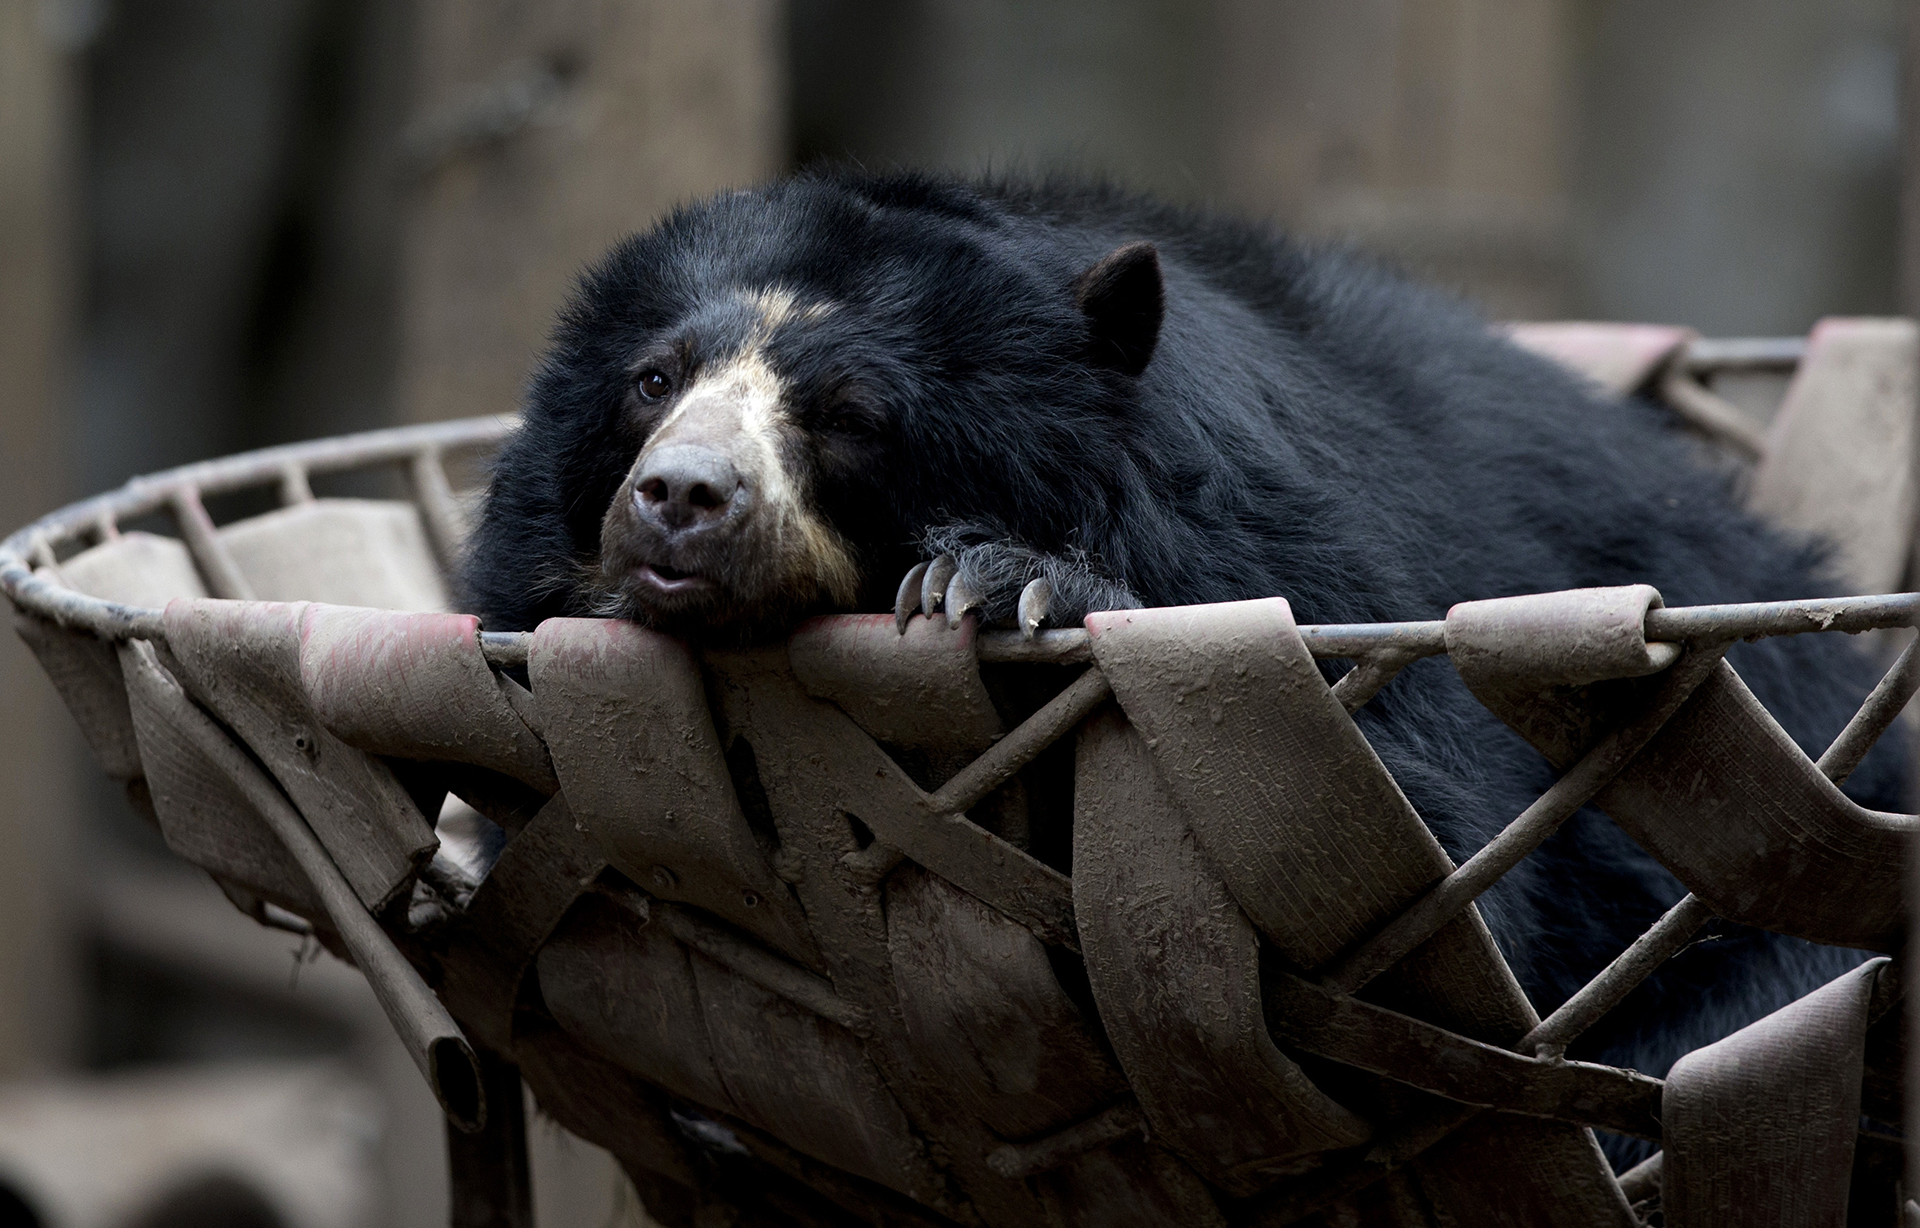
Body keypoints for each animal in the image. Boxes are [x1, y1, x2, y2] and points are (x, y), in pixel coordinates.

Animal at [460, 167, 1904, 1166]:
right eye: (653, 381)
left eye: (852, 415)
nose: (681, 499)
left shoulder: (1290, 558)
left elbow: (1409, 880)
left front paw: (1000, 585)